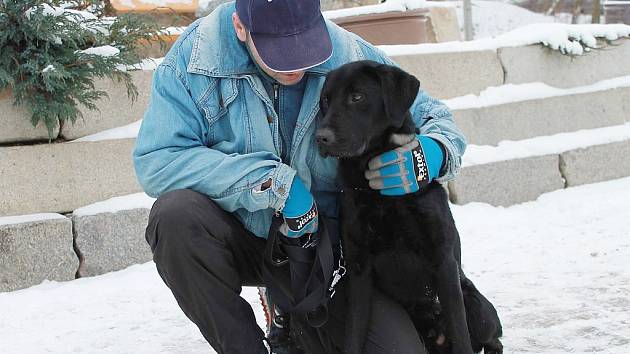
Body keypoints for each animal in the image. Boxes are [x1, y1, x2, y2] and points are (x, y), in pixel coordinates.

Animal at [316, 61, 504, 354]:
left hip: (475, 304)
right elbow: (354, 333)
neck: (380, 194)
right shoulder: (358, 269)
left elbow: (460, 332)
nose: (320, 138)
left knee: (491, 338)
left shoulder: (443, 261)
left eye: (357, 96)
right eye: (325, 100)